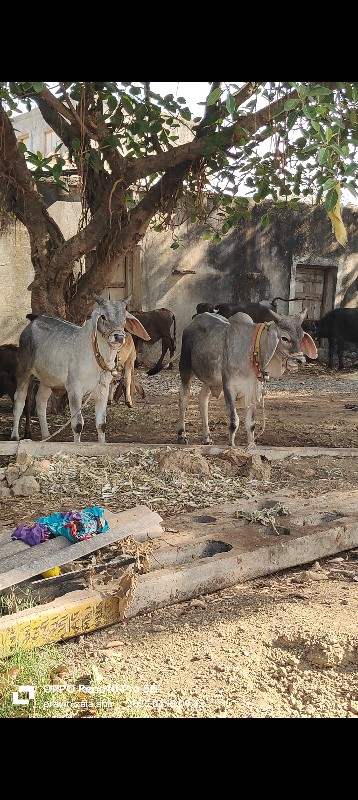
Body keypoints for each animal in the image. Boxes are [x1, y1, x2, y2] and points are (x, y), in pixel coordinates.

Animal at [10, 296, 150, 444]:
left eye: (124, 318)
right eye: (103, 316)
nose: (119, 337)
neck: (97, 357)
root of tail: (35, 320)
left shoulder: (103, 391)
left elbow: (101, 424)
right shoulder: (74, 390)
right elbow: (77, 425)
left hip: (47, 380)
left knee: (41, 401)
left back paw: (46, 436)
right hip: (24, 370)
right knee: (19, 401)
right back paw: (15, 436)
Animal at [178, 310, 318, 446]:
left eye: (301, 337)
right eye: (284, 338)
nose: (300, 360)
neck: (251, 351)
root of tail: (193, 322)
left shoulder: (254, 389)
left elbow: (251, 423)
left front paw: (251, 445)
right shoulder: (228, 386)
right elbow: (233, 421)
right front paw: (231, 446)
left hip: (210, 379)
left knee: (203, 400)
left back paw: (207, 438)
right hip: (185, 369)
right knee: (183, 399)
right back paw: (182, 436)